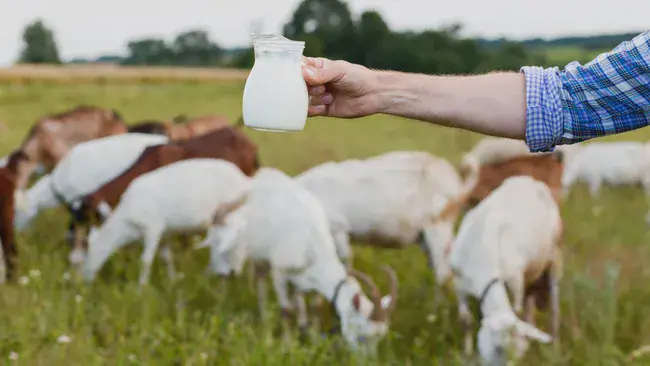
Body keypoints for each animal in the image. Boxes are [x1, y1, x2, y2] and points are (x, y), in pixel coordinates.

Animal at [82, 159, 249, 288]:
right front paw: (172, 281)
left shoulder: (153, 227)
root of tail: (244, 180)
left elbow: (146, 260)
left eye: (89, 252)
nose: (83, 280)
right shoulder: (164, 233)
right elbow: (166, 257)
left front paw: (141, 287)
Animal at [197, 167, 398, 354]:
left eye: (380, 336)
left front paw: (315, 340)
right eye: (362, 333)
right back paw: (266, 319)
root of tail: (262, 176)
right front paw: (286, 346)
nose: (368, 360)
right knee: (261, 281)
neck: (311, 240)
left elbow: (315, 306)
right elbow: (285, 310)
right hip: (259, 254)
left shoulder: (311, 276)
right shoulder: (280, 273)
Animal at [448, 176, 560, 364]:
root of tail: (529, 179)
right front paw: (467, 352)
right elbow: (465, 320)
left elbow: (517, 310)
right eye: (497, 349)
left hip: (553, 257)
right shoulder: (459, 282)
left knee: (552, 302)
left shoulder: (515, 282)